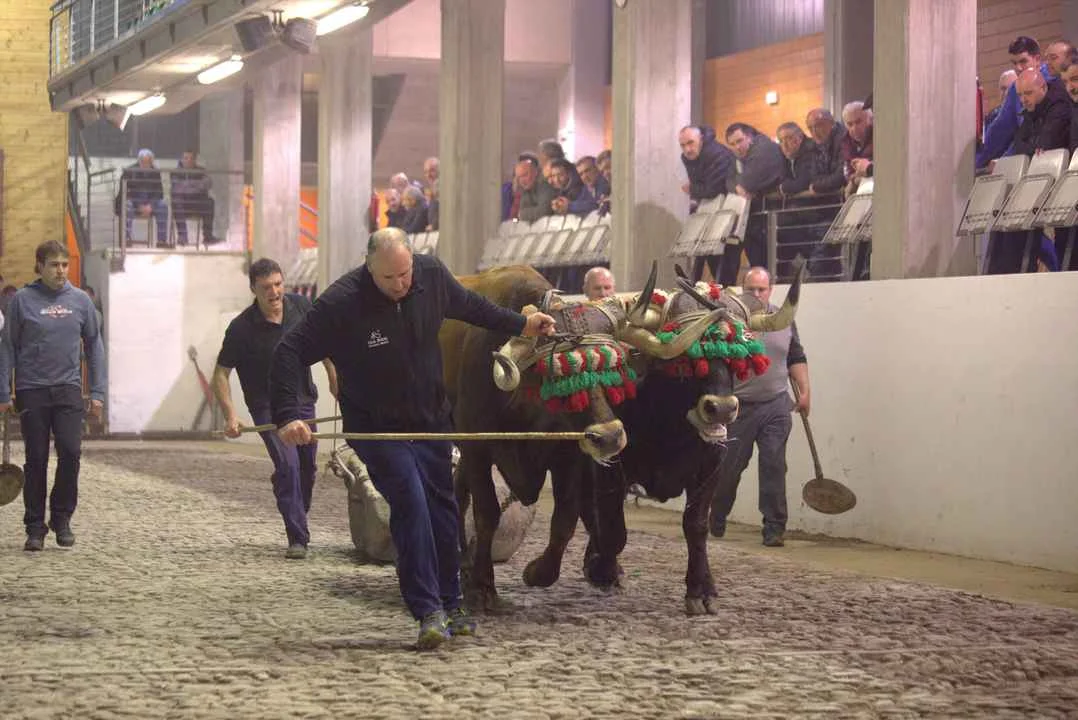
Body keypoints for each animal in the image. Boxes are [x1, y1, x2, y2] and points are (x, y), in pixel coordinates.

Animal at [439, 264, 724, 611]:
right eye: (561, 377)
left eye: (611, 371)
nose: (611, 436)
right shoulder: (476, 446)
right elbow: (487, 513)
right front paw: (482, 587)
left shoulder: (567, 455)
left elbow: (565, 519)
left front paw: (537, 572)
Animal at [578, 262, 805, 615]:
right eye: (688, 358)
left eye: (736, 357)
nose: (721, 408)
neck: (669, 426)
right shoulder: (609, 463)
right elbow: (613, 526)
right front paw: (603, 569)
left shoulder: (711, 466)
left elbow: (696, 525)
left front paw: (701, 590)